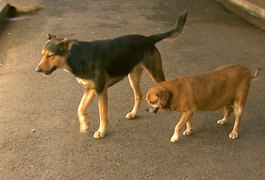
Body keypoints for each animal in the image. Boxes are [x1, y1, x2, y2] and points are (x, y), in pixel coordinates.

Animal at [35, 11, 187, 139]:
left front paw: (101, 131)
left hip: (155, 72)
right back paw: (133, 113)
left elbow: (102, 114)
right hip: (133, 76)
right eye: (42, 54)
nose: (37, 70)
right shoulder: (90, 89)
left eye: (50, 55)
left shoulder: (101, 91)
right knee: (138, 95)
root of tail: (148, 39)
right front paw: (85, 124)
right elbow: (80, 108)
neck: (78, 57)